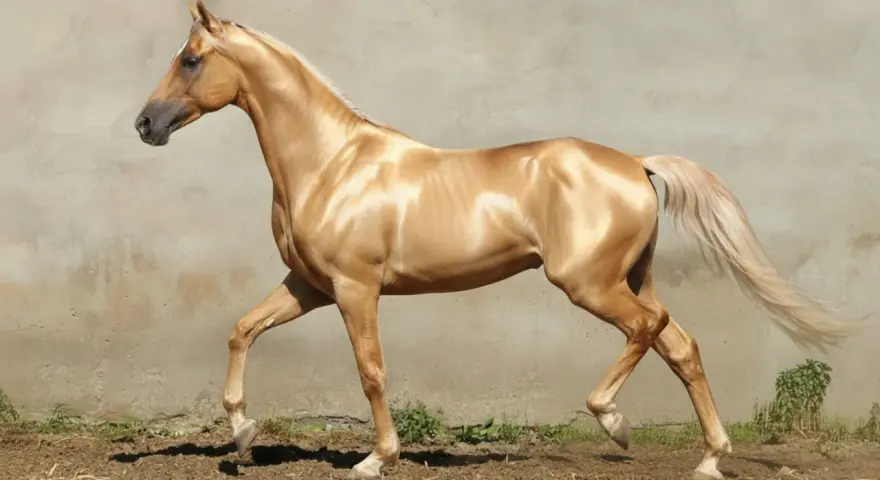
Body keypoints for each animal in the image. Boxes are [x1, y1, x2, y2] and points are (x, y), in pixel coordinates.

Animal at [133, 2, 859, 479]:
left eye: (191, 60)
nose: (145, 124)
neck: (332, 163)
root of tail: (635, 163)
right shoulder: (309, 286)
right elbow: (242, 330)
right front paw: (243, 431)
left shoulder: (354, 288)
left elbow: (371, 370)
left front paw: (376, 458)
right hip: (630, 277)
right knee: (679, 344)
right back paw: (708, 459)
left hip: (588, 283)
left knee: (647, 330)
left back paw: (616, 423)